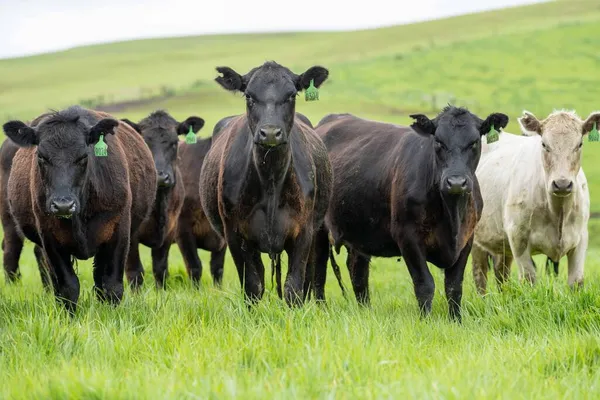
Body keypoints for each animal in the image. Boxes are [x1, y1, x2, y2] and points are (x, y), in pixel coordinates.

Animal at [2, 107, 156, 312]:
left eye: (83, 156)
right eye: (41, 156)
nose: (63, 204)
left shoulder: (119, 231)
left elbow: (111, 285)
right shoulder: (49, 238)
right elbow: (68, 287)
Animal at [202, 61, 332, 304]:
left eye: (291, 95)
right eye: (249, 96)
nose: (270, 133)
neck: (271, 179)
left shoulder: (304, 231)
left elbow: (294, 288)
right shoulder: (235, 235)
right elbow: (253, 286)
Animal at [314, 107, 506, 322]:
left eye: (474, 142)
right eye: (438, 141)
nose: (456, 182)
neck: (451, 215)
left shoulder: (466, 239)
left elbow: (454, 287)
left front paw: (456, 321)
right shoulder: (408, 237)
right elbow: (425, 284)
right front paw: (425, 321)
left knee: (357, 271)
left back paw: (365, 311)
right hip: (318, 229)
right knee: (318, 271)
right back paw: (321, 310)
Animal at [472, 109, 596, 294]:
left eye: (579, 144)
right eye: (544, 144)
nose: (562, 184)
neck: (558, 211)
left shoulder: (580, 238)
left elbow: (576, 281)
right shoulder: (518, 238)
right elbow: (529, 279)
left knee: (501, 273)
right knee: (479, 275)